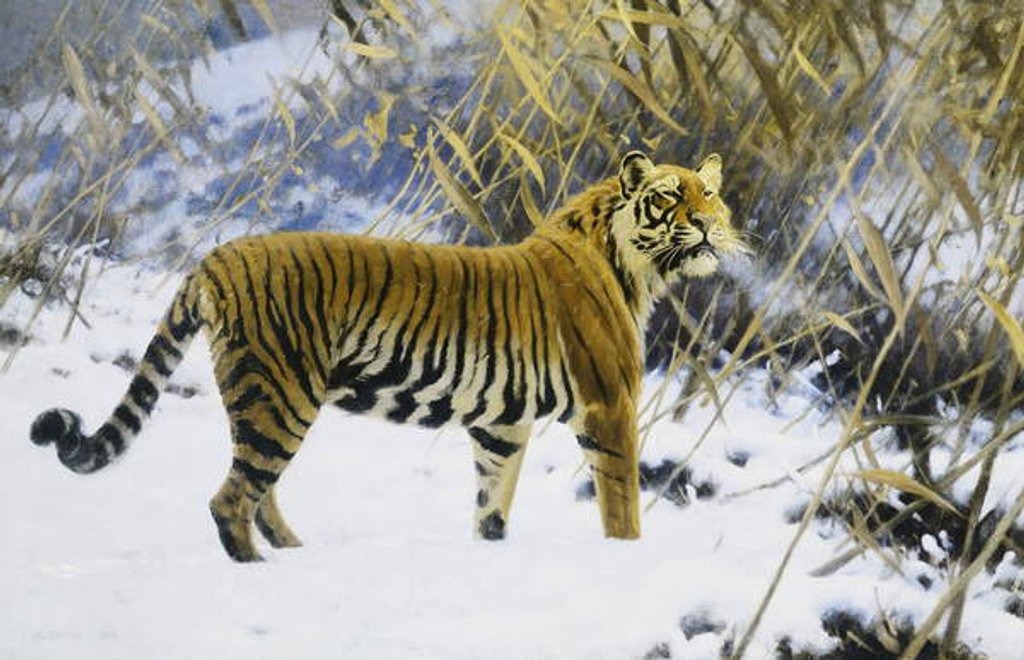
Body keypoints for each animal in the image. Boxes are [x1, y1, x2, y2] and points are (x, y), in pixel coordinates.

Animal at [29, 151, 747, 562]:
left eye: (710, 193)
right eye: (672, 196)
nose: (710, 225)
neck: (637, 266)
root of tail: (217, 254)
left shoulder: (501, 426)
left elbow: (491, 505)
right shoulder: (609, 406)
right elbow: (622, 507)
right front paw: (626, 560)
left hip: (265, 399)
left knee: (257, 491)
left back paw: (295, 555)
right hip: (280, 394)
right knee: (231, 499)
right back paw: (263, 570)